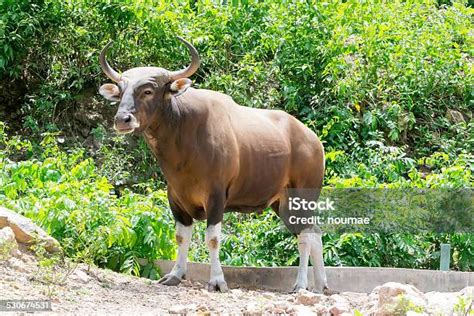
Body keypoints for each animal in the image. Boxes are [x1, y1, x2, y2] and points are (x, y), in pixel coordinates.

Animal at [98, 37, 330, 294]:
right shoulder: (176, 199)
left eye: (148, 90)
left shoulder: (216, 197)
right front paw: (175, 274)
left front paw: (217, 281)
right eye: (120, 92)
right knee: (314, 232)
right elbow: (181, 237)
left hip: (302, 196)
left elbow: (212, 238)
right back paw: (320, 284)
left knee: (305, 236)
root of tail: (314, 141)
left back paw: (301, 284)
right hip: (282, 204)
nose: (122, 119)